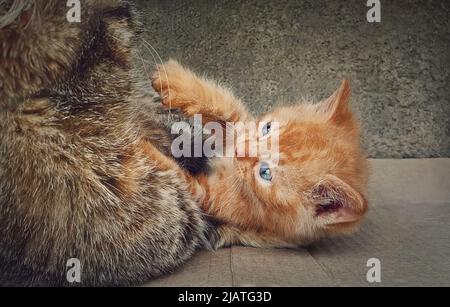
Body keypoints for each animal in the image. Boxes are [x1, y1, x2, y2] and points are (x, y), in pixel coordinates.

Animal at [153, 60, 368, 250]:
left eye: (265, 173)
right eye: (267, 128)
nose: (239, 152)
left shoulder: (216, 200)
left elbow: (181, 179)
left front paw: (144, 147)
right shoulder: (239, 130)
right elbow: (228, 108)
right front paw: (174, 79)